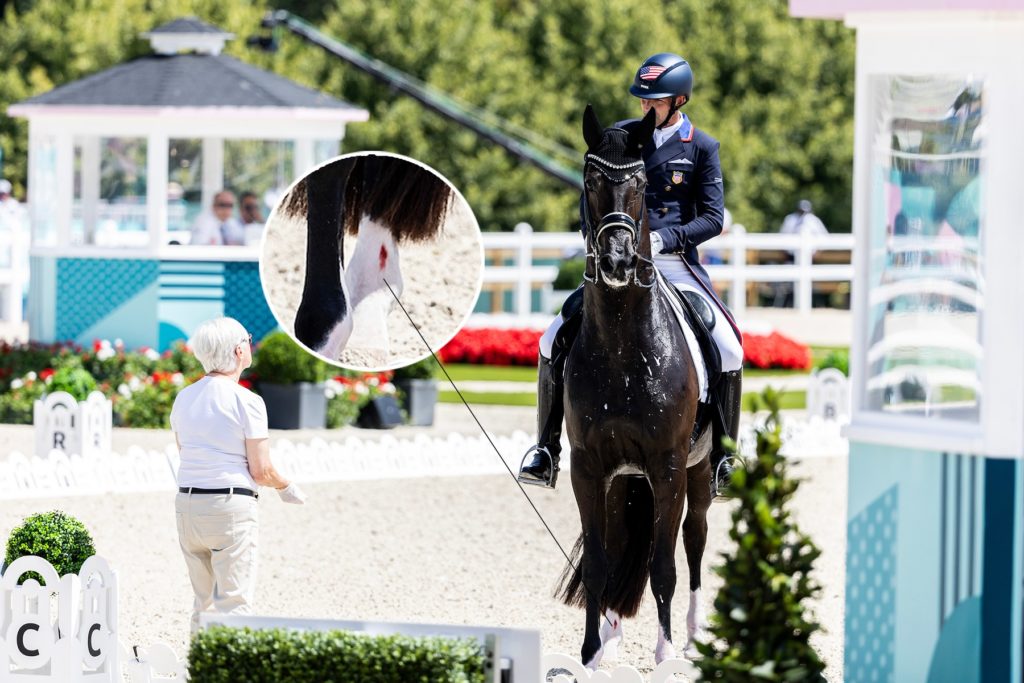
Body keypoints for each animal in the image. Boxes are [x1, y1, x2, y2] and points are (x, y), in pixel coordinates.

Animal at [557, 105, 716, 667]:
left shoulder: (667, 466)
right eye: (590, 181)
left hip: (698, 471)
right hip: (623, 478)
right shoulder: (588, 466)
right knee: (623, 540)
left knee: (694, 537)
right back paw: (611, 634)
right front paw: (589, 654)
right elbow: (599, 563)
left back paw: (691, 636)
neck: (625, 346)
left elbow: (664, 564)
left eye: (643, 183)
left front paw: (665, 653)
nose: (619, 262)